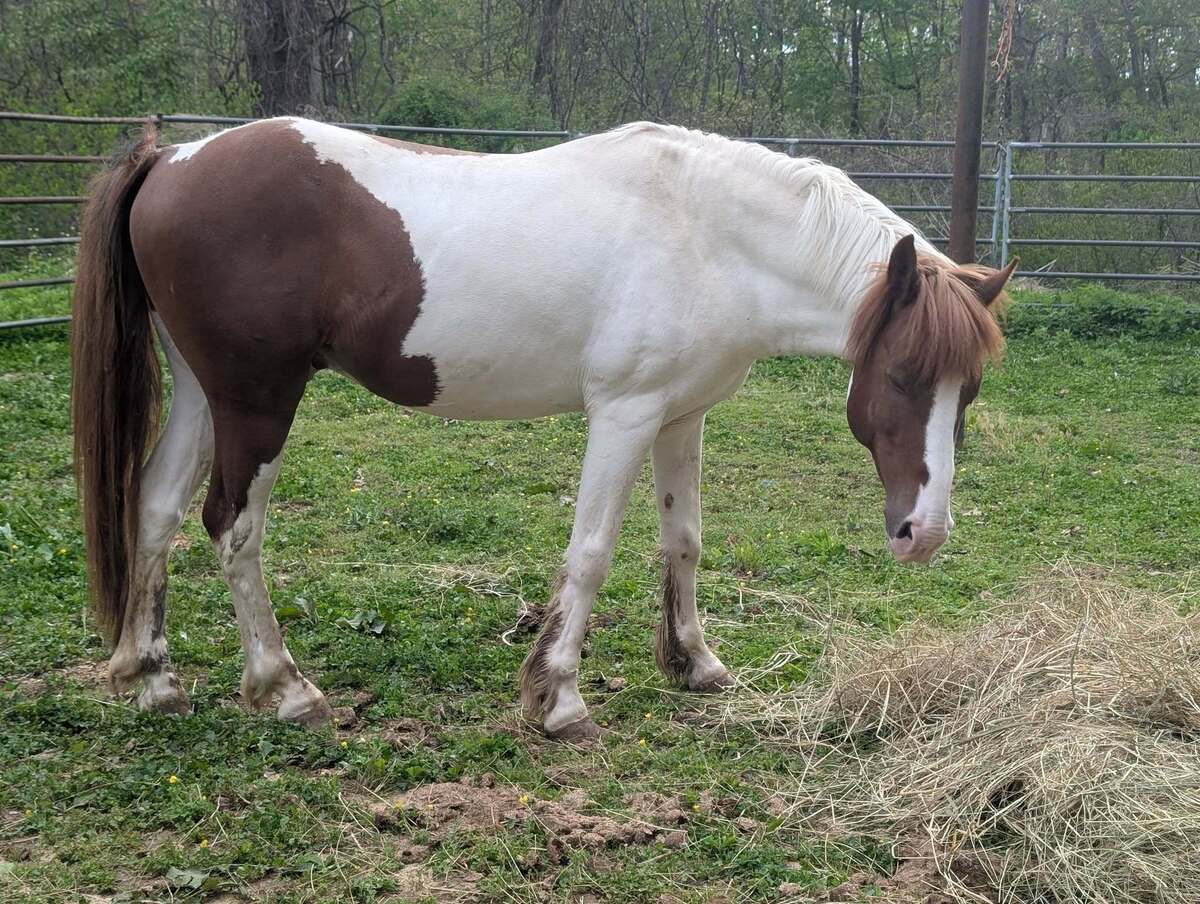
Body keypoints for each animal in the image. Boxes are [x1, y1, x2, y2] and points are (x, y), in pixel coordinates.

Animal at [70, 118, 1012, 739]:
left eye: (967, 391)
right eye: (901, 377)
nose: (925, 533)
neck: (705, 233)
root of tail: (172, 158)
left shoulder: (681, 415)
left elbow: (683, 542)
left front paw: (694, 663)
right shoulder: (624, 414)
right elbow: (590, 552)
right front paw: (558, 699)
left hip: (205, 396)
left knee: (153, 507)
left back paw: (152, 678)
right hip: (257, 402)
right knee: (232, 527)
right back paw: (283, 686)